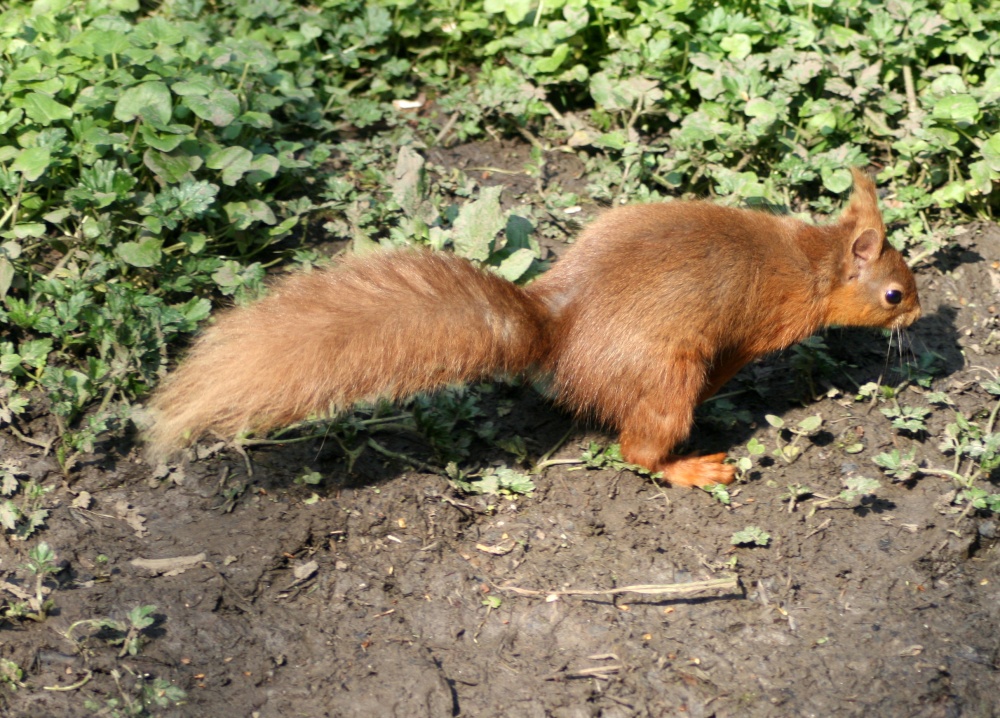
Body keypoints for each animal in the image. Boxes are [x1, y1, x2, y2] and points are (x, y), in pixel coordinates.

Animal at [145, 168, 920, 487]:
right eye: (892, 292)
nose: (916, 312)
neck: (811, 262)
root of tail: (560, 328)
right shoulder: (754, 331)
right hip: (667, 376)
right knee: (638, 451)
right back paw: (692, 465)